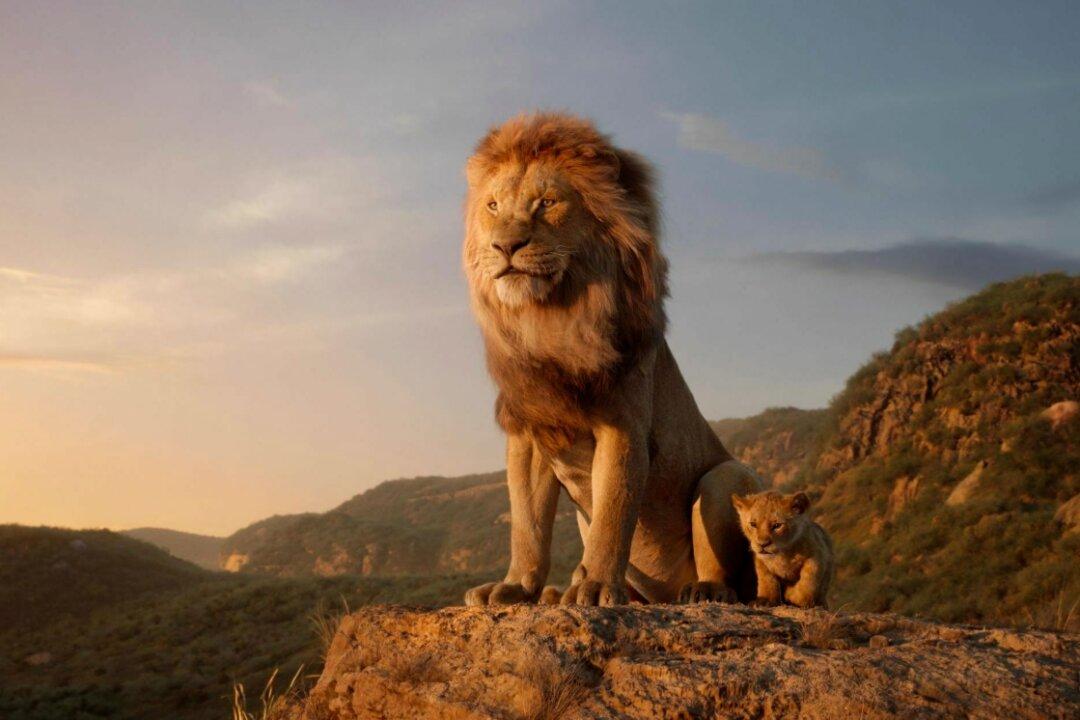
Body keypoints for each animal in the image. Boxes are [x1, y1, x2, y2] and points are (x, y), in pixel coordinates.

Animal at [461, 112, 763, 607]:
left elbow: (613, 513)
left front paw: (598, 586)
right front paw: (516, 586)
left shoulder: (623, 426)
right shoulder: (529, 432)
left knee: (730, 575)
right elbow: (527, 524)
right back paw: (557, 592)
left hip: (725, 476)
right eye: (492, 206)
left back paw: (702, 590)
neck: (550, 320)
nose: (505, 246)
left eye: (547, 203)